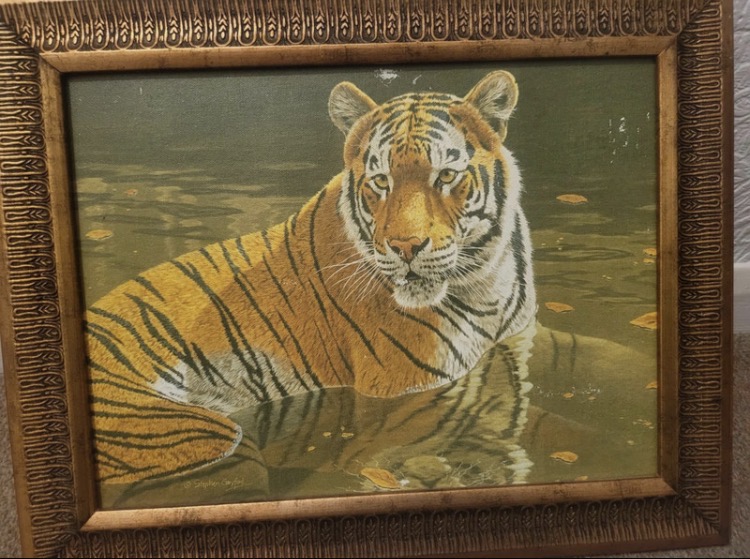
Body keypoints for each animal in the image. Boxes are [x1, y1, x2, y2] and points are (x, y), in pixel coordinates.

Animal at [86, 70, 538, 487]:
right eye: (381, 181)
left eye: (445, 176)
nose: (405, 246)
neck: (483, 283)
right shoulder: (405, 388)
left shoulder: (517, 339)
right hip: (200, 437)